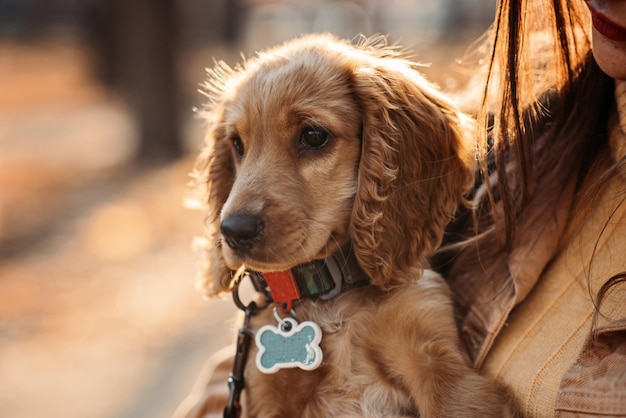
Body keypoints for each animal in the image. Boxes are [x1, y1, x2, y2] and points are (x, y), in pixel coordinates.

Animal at [191, 34, 512, 416]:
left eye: (313, 136)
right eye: (237, 144)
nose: (234, 231)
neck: (331, 302)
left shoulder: (437, 358)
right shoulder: (265, 391)